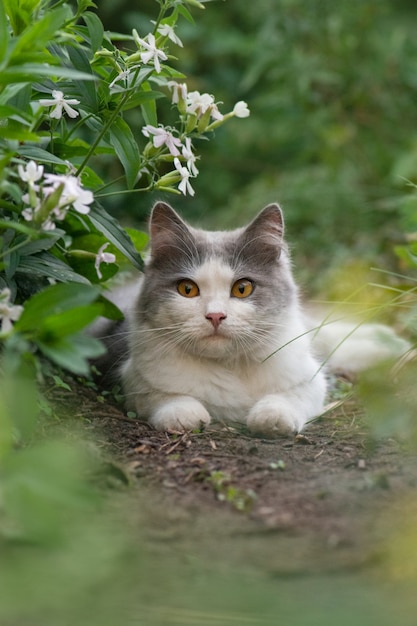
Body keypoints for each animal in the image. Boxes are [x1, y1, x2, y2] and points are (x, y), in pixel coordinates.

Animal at [92, 202, 408, 436]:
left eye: (242, 289)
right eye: (187, 290)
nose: (215, 315)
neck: (229, 367)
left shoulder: (309, 379)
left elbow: (287, 398)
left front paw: (271, 419)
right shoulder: (131, 375)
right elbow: (164, 397)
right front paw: (183, 414)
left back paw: (395, 345)